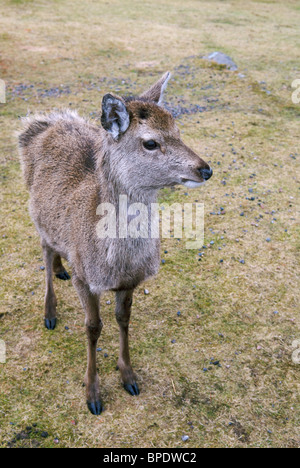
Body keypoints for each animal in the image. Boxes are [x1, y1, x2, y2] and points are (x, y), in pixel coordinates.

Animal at [18, 72, 212, 414]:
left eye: (178, 131)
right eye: (151, 142)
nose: (205, 169)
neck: (114, 262)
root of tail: (41, 123)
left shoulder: (130, 281)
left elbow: (123, 319)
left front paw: (128, 376)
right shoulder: (85, 278)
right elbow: (93, 327)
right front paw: (92, 393)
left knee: (55, 249)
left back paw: (60, 268)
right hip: (35, 212)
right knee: (44, 249)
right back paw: (49, 311)